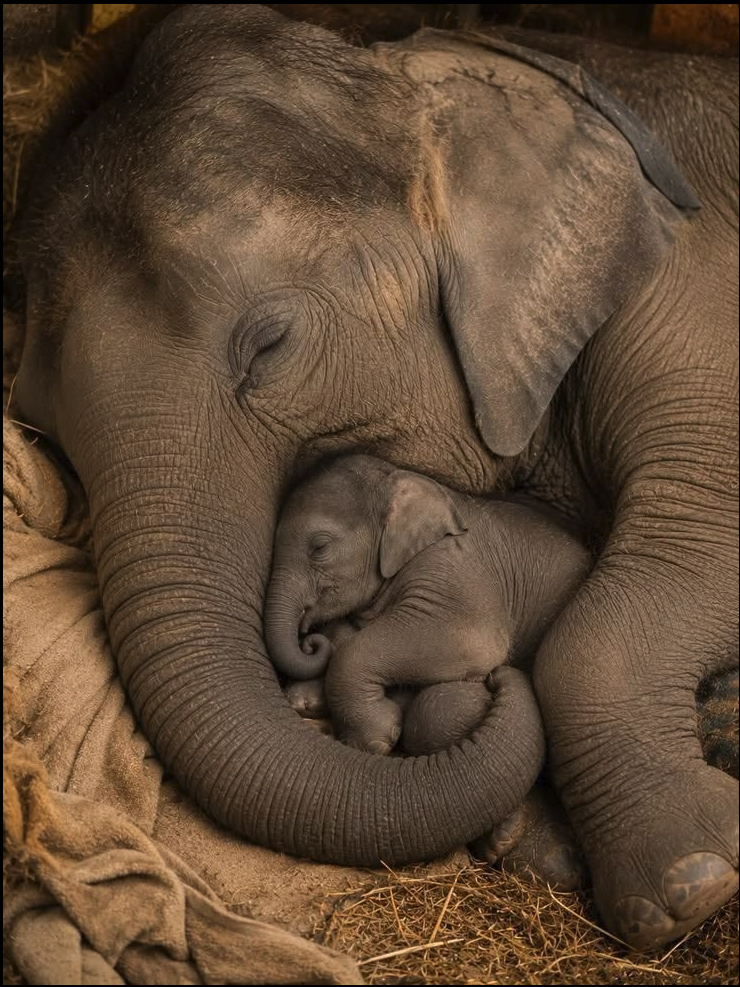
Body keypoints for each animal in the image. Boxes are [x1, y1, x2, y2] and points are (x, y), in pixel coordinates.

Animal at [265, 453, 590, 755]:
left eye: (319, 547)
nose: (309, 642)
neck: (399, 480)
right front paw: (304, 700)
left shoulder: (456, 567)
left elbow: (476, 641)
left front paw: (374, 740)